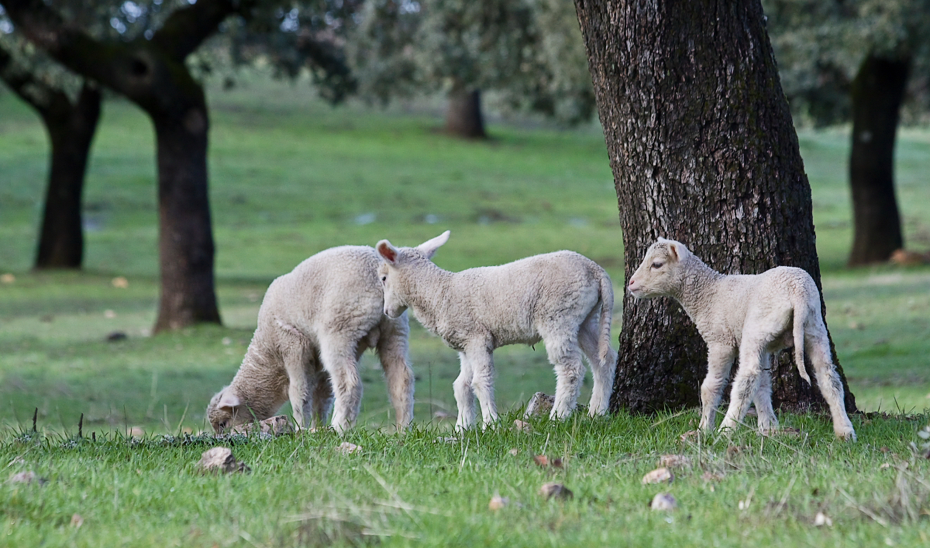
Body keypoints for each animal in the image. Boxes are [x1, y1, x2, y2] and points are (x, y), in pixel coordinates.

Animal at [210, 247, 416, 432]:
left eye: (223, 423)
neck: (268, 354)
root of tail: (376, 275)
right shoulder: (319, 366)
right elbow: (323, 395)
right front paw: (317, 427)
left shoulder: (292, 345)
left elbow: (300, 393)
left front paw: (301, 428)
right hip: (395, 329)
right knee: (401, 378)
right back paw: (402, 429)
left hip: (339, 331)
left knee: (349, 383)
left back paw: (340, 427)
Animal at [370, 229, 616, 430]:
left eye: (383, 278)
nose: (387, 312)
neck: (440, 293)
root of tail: (595, 269)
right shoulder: (465, 344)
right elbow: (462, 385)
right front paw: (462, 428)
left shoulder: (477, 338)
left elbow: (480, 381)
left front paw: (490, 423)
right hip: (585, 319)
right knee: (604, 360)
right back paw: (597, 412)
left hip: (558, 316)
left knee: (571, 368)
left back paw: (559, 416)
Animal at [628, 239, 852, 440]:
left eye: (657, 264)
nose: (630, 283)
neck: (708, 294)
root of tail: (798, 292)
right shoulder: (765, 347)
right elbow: (763, 386)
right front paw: (769, 427)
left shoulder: (720, 341)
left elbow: (711, 387)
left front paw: (704, 429)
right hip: (812, 328)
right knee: (828, 376)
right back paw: (845, 432)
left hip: (756, 328)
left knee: (746, 379)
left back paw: (726, 430)